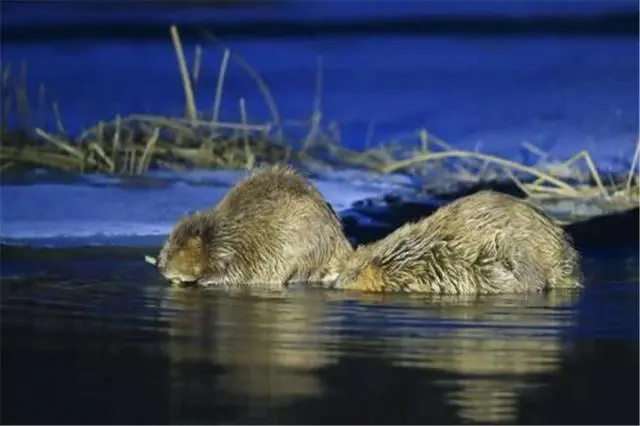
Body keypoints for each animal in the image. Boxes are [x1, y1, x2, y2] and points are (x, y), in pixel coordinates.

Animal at [157, 164, 352, 290]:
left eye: (179, 248)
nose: (161, 267)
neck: (222, 234)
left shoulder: (241, 252)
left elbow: (235, 273)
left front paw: (205, 280)